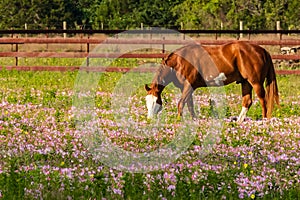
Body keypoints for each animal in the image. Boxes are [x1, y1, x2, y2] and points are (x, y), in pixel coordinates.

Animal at [144, 41, 280, 122]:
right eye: (146, 101)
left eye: (156, 101)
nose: (149, 119)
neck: (179, 62)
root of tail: (263, 50)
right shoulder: (186, 88)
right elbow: (190, 104)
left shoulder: (189, 86)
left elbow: (181, 103)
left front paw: (178, 121)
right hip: (246, 83)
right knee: (247, 102)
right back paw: (238, 122)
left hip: (255, 83)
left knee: (263, 101)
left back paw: (264, 121)